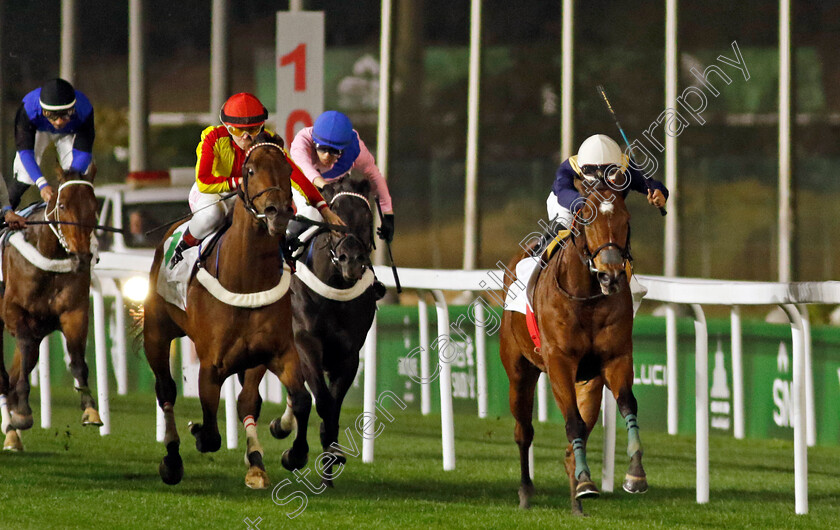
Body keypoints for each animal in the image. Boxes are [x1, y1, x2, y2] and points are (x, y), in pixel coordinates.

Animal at [0, 169, 100, 450]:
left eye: (95, 206)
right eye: (63, 205)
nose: (83, 257)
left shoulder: (74, 313)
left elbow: (77, 361)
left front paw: (90, 409)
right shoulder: (13, 312)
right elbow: (23, 347)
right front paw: (23, 412)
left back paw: (11, 432)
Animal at [143, 135, 310, 486]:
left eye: (289, 169)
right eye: (250, 170)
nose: (278, 212)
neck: (246, 279)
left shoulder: (275, 351)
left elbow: (298, 399)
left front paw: (291, 453)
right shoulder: (211, 365)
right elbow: (210, 431)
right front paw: (195, 433)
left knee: (248, 400)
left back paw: (256, 461)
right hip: (156, 332)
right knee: (166, 389)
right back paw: (172, 459)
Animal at [268, 175, 376, 484]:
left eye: (366, 217)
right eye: (334, 216)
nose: (351, 259)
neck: (334, 292)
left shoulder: (349, 354)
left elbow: (334, 403)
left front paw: (331, 455)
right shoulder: (306, 345)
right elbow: (323, 402)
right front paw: (297, 454)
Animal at [498, 178, 648, 512]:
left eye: (626, 220)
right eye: (587, 221)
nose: (611, 275)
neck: (586, 296)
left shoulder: (616, 357)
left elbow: (627, 404)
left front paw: (634, 475)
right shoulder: (559, 362)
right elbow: (572, 423)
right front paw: (586, 483)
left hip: (589, 383)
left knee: (575, 438)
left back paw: (577, 496)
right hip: (519, 372)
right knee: (523, 431)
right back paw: (526, 491)